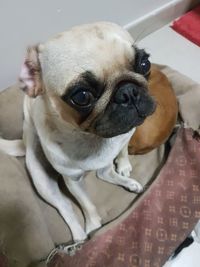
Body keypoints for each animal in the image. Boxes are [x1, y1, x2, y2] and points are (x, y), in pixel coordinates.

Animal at [0, 21, 155, 243]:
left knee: (105, 173)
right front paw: (93, 225)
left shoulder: (127, 134)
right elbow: (86, 203)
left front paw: (124, 165)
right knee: (65, 207)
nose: (128, 92)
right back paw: (79, 238)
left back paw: (128, 183)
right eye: (82, 96)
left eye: (145, 64)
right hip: (41, 179)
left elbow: (123, 150)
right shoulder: (73, 180)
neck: (93, 138)